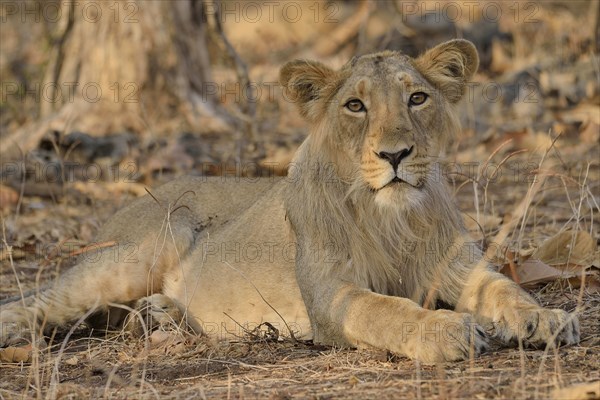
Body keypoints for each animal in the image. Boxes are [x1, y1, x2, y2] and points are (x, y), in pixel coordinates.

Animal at [1, 39, 580, 362]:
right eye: (355, 106)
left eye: (417, 98)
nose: (395, 154)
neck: (390, 219)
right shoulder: (329, 295)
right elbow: (384, 309)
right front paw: (442, 329)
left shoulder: (460, 267)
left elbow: (505, 288)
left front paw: (547, 320)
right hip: (147, 244)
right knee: (40, 300)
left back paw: (158, 316)